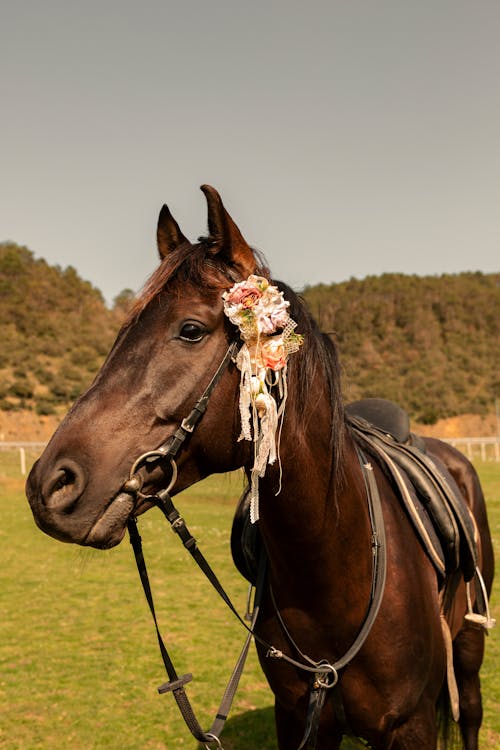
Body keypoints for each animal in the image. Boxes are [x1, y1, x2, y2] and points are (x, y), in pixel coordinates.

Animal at [28, 187, 496, 750]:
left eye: (190, 330)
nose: (50, 486)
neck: (336, 568)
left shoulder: (413, 726)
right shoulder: (299, 719)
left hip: (468, 647)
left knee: (469, 711)